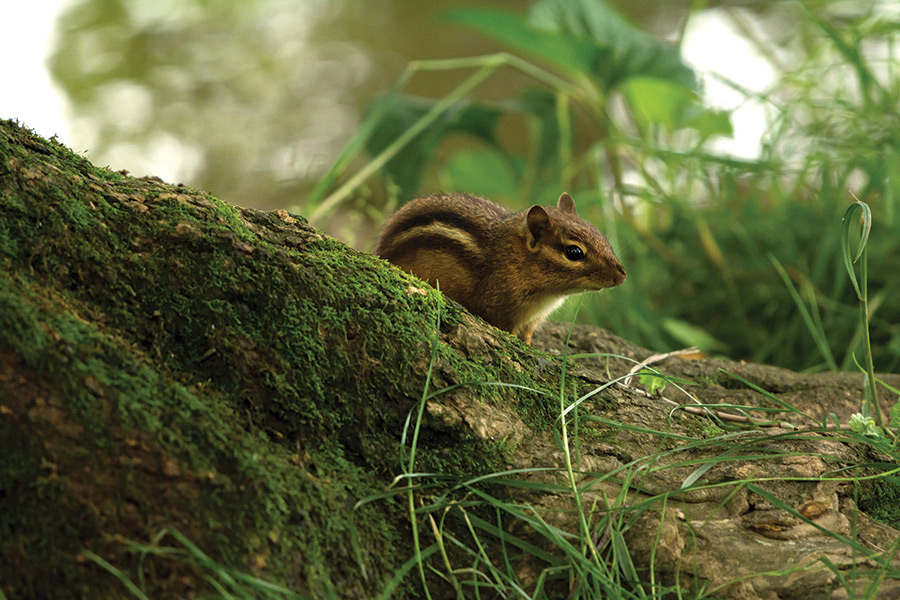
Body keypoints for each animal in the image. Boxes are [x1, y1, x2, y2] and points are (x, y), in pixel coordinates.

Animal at [375, 192, 626, 344]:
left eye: (602, 236)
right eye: (574, 252)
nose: (621, 276)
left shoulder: (532, 321)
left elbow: (527, 338)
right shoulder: (499, 310)